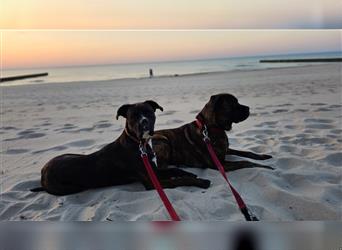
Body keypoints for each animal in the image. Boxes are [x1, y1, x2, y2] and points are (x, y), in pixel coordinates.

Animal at [32, 100, 210, 195]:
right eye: (133, 116)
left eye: (149, 112)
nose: (144, 122)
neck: (140, 144)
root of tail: (42, 171)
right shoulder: (151, 182)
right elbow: (178, 180)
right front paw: (201, 181)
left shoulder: (155, 170)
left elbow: (175, 170)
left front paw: (189, 173)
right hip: (69, 188)